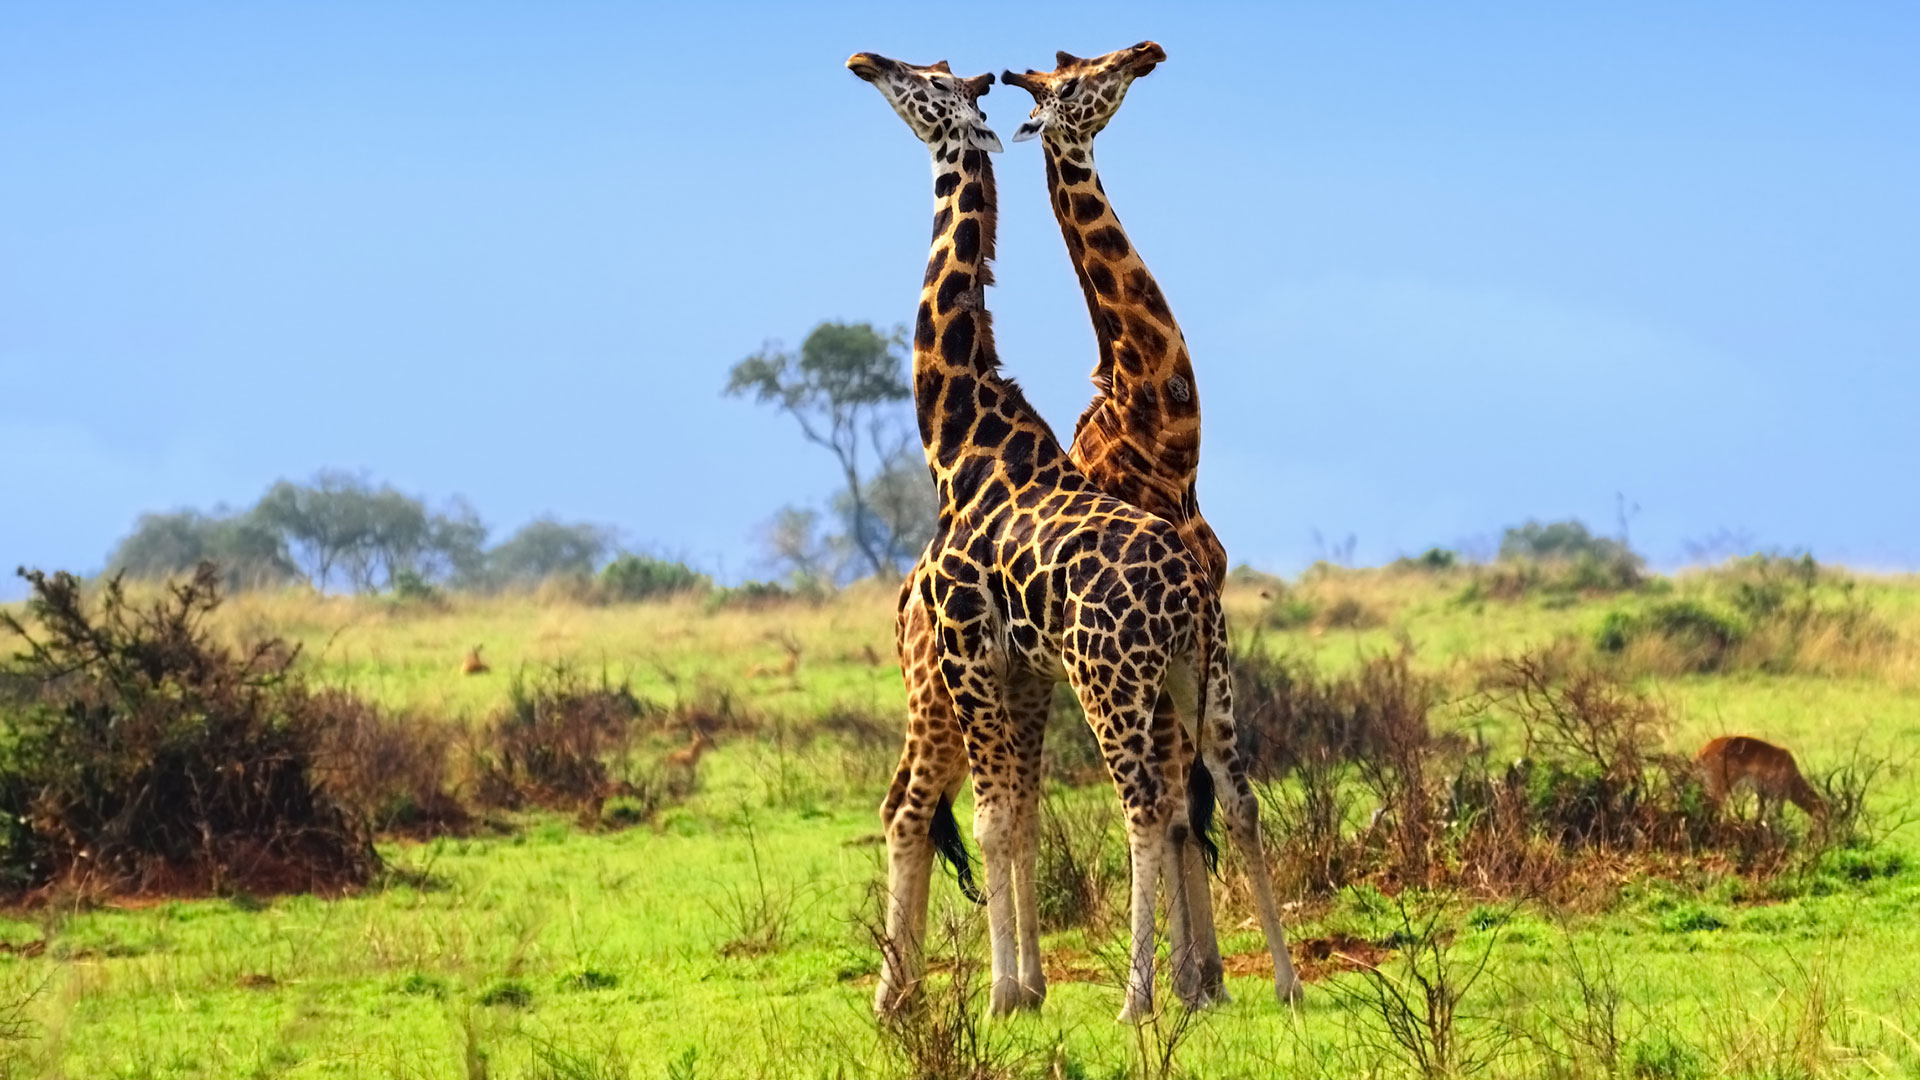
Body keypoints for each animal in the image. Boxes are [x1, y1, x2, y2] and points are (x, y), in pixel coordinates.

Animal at [848, 50, 1282, 1022]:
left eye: (924, 82)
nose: (864, 62)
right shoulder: (1008, 666)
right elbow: (1015, 815)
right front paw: (1031, 988)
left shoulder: (983, 654)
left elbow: (1009, 817)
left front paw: (1016, 993)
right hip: (1169, 674)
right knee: (1225, 793)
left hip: (1094, 679)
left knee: (1138, 803)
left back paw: (1124, 998)